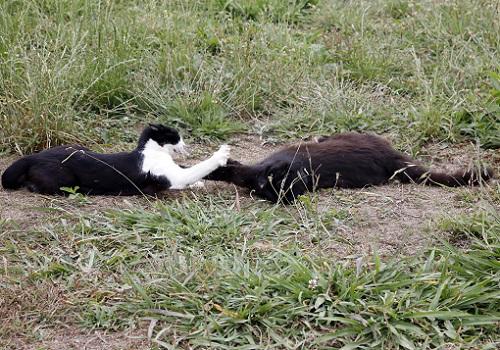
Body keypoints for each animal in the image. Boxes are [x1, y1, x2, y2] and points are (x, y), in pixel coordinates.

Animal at [0, 123, 231, 196]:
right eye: (176, 136)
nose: (185, 144)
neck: (152, 152)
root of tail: (32, 156)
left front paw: (199, 184)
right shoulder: (171, 175)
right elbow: (196, 168)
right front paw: (221, 154)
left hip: (78, 147)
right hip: (64, 178)